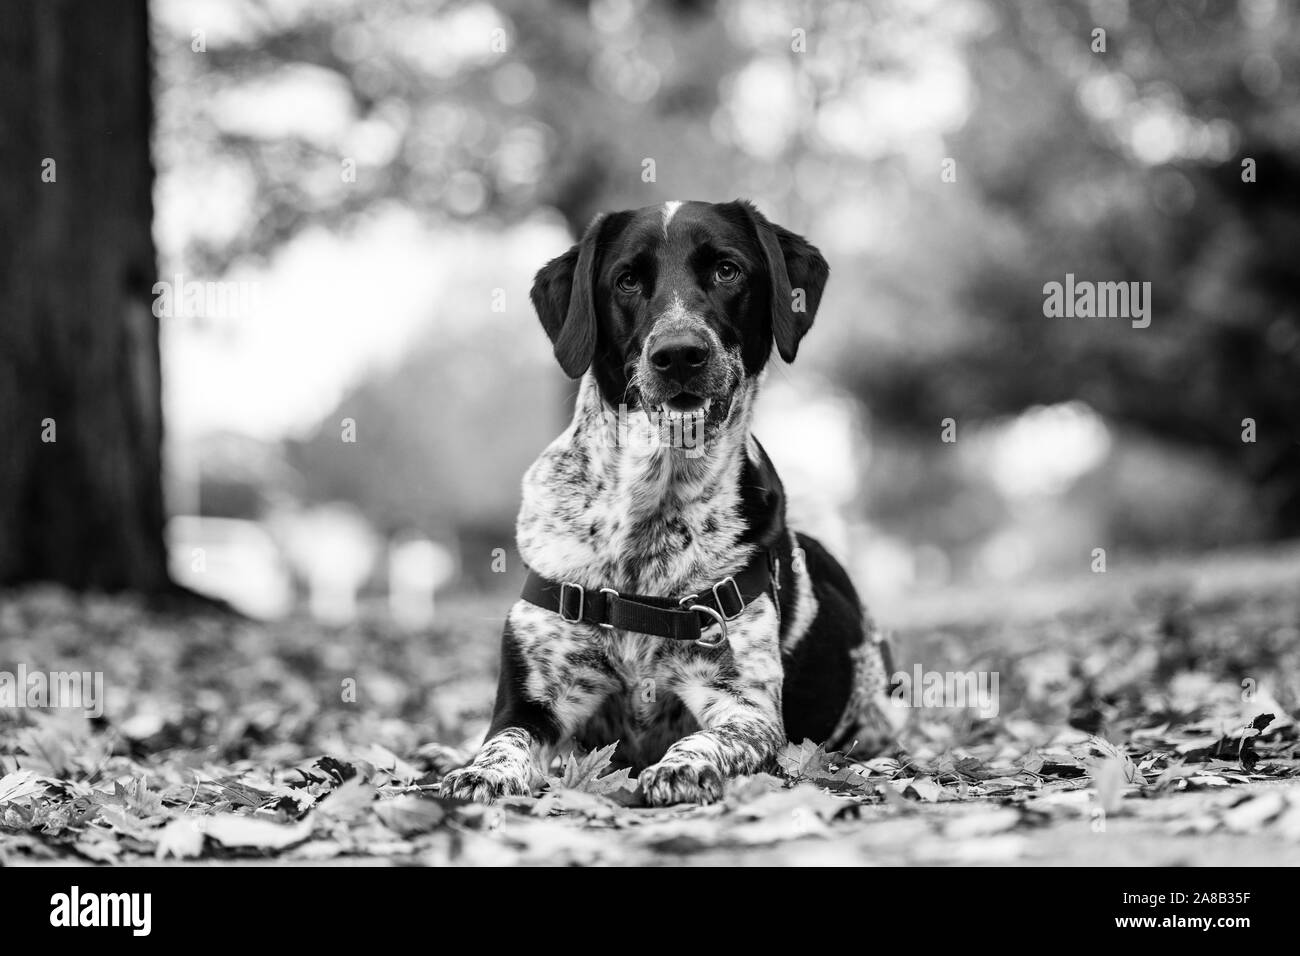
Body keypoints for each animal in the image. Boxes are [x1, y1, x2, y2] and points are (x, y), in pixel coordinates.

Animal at [441, 201, 899, 806]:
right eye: (627, 280)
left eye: (727, 270)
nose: (679, 353)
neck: (652, 502)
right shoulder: (531, 701)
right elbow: (501, 741)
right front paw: (482, 772)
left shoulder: (745, 707)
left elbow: (709, 738)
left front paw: (682, 767)